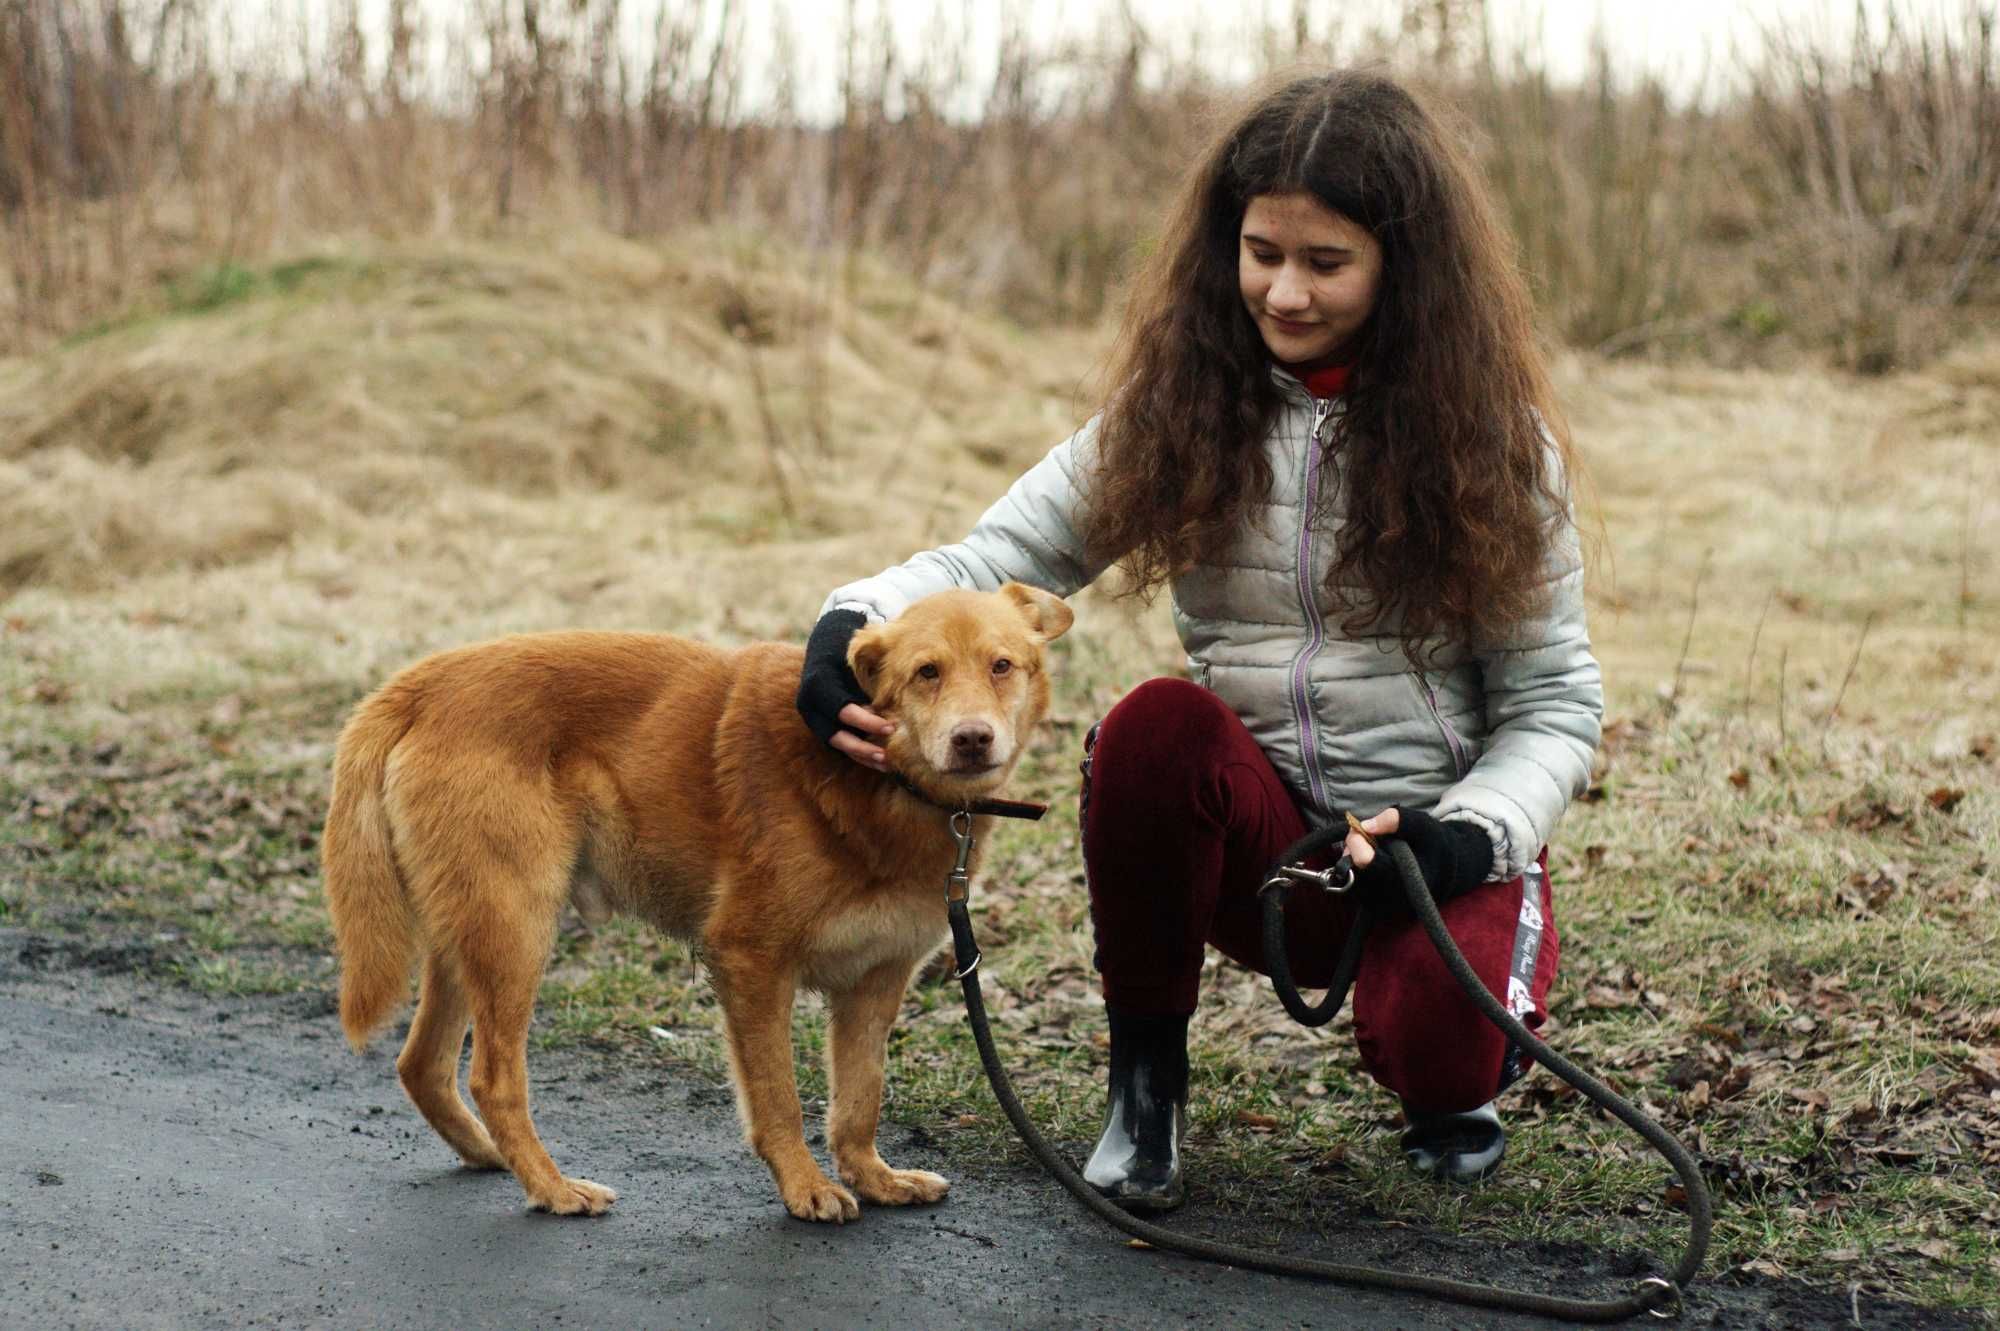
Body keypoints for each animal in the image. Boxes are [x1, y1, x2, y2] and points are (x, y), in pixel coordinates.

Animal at [324, 579, 1080, 1215]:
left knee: (421, 1064)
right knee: (492, 1079)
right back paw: (552, 1188)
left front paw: (873, 1177)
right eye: (927, 672)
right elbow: (778, 1098)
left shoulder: (875, 980)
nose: (972, 738)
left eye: (1002, 665)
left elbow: (859, 1098)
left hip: (470, 933)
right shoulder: (750, 962)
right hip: (516, 930)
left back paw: (489, 1155)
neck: (879, 784)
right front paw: (805, 1186)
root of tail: (423, 680)